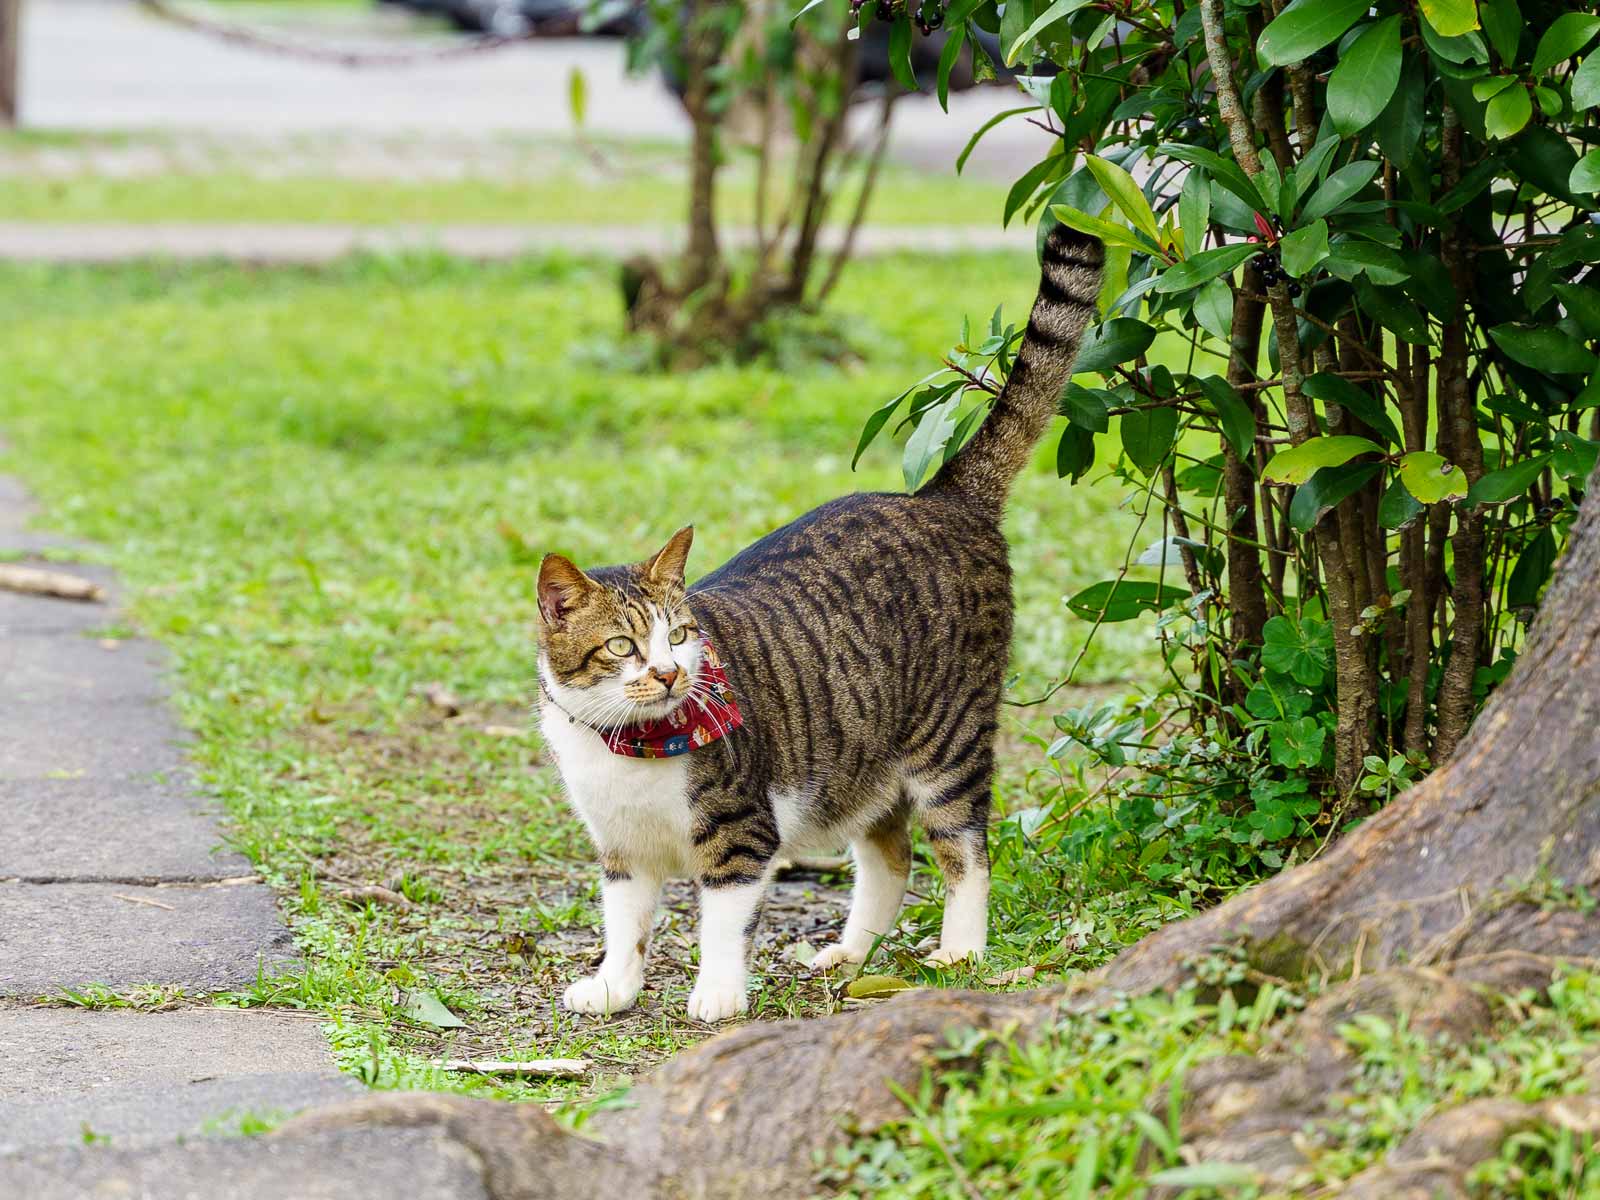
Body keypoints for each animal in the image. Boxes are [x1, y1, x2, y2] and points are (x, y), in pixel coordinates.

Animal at [537, 227, 1100, 1024]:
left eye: (678, 635)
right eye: (621, 645)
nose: (671, 673)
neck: (628, 744)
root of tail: (939, 496)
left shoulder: (741, 832)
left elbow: (722, 922)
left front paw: (717, 993)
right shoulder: (621, 849)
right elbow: (626, 922)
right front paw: (616, 984)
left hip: (948, 738)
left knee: (964, 848)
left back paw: (960, 950)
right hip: (860, 754)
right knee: (890, 858)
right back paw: (853, 956)